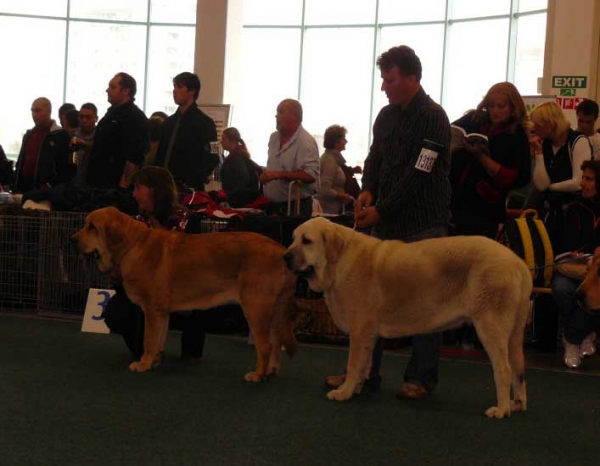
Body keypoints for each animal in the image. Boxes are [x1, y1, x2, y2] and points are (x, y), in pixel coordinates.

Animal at [72, 208, 298, 382]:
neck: (132, 245)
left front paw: (143, 364)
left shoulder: (152, 310)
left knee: (266, 345)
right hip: (273, 311)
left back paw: (258, 375)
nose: (72, 240)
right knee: (276, 342)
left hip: (255, 309)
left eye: (92, 227)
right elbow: (159, 340)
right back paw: (271, 371)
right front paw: (154, 362)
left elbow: (149, 340)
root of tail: (281, 250)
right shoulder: (162, 313)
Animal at [284, 218, 532, 418]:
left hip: (490, 326)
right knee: (518, 370)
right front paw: (356, 390)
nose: (285, 256)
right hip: (514, 335)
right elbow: (365, 365)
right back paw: (517, 405)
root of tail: (518, 263)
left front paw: (344, 392)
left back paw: (501, 410)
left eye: (306, 241)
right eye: (293, 238)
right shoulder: (368, 335)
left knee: (504, 370)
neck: (339, 260)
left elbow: (354, 365)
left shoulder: (360, 330)